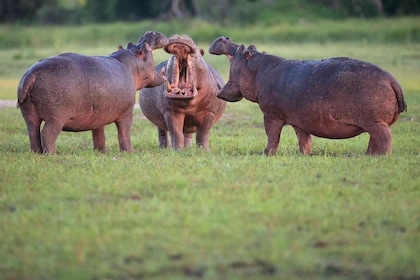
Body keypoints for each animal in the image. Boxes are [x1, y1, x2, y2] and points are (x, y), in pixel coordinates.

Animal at [17, 31, 169, 154]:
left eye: (131, 43)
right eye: (145, 47)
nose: (150, 32)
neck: (132, 63)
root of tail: (32, 74)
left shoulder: (99, 114)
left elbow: (99, 134)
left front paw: (101, 153)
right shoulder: (127, 112)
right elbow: (124, 133)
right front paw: (130, 152)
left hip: (30, 115)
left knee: (33, 133)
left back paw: (37, 154)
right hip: (56, 117)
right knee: (47, 134)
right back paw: (52, 155)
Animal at [210, 36, 406, 155]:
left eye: (243, 49)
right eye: (250, 46)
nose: (224, 38)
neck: (258, 69)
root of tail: (391, 79)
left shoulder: (271, 115)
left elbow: (272, 135)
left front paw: (266, 154)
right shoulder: (300, 122)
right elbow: (304, 140)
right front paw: (304, 155)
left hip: (375, 122)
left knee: (385, 138)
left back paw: (381, 157)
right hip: (373, 123)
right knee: (375, 140)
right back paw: (368, 156)